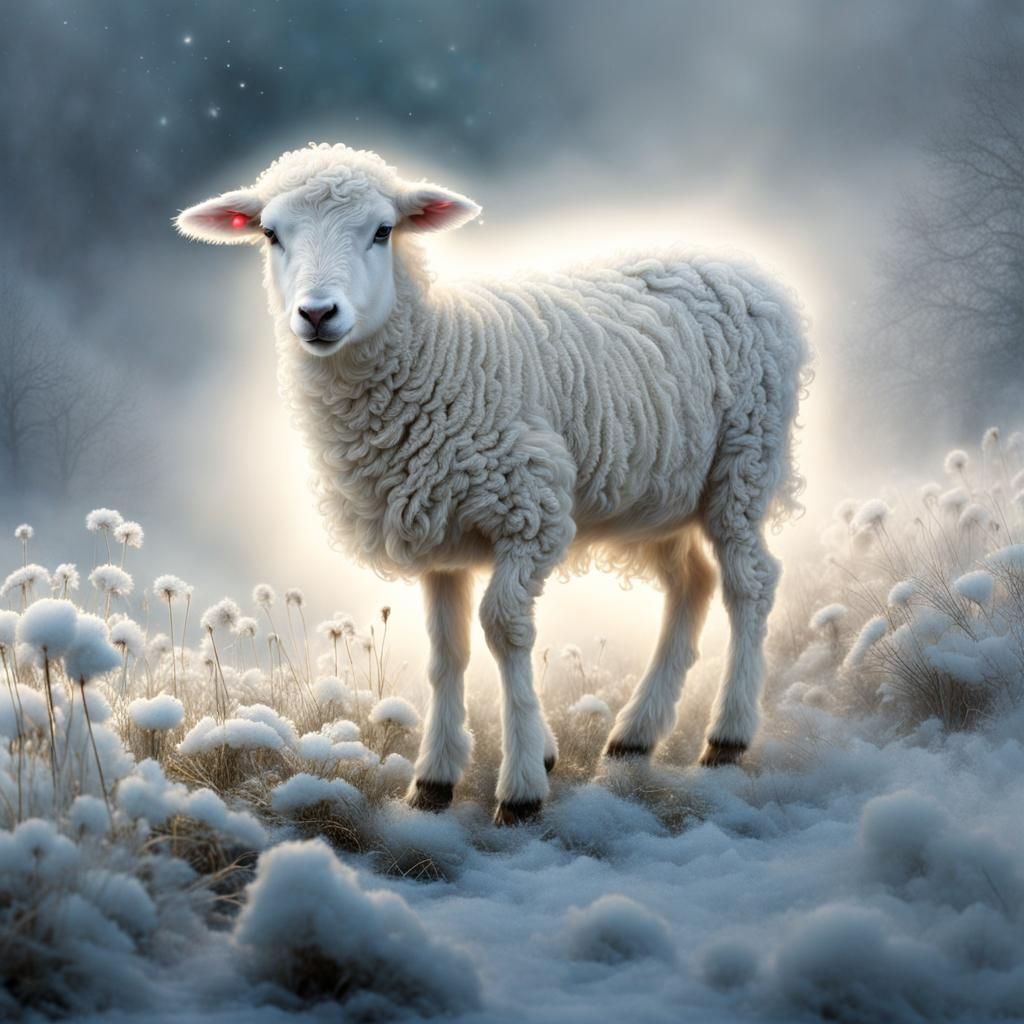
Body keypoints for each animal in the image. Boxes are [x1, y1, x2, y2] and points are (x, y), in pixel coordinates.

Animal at [176, 142, 811, 825]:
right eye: (271, 234)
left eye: (383, 231)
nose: (318, 313)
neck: (442, 356)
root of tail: (740, 262)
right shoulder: (435, 530)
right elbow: (446, 651)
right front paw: (434, 778)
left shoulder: (532, 509)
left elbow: (505, 630)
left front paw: (523, 784)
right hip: (660, 489)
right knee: (690, 583)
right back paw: (636, 732)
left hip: (744, 460)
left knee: (750, 583)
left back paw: (728, 734)